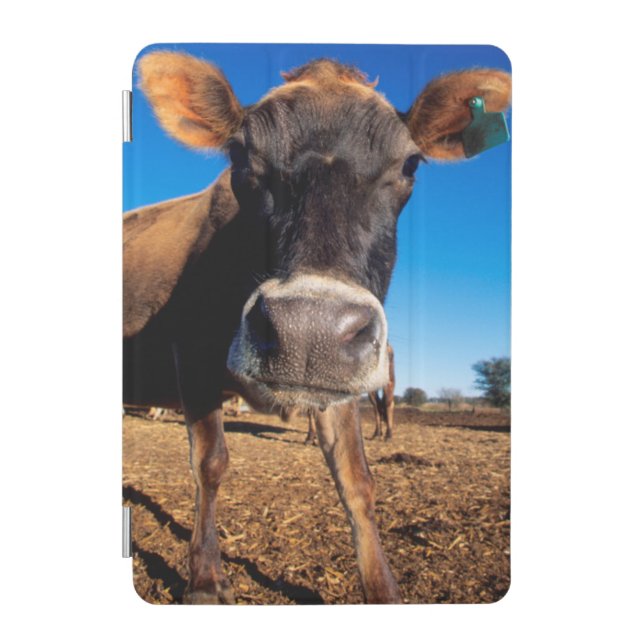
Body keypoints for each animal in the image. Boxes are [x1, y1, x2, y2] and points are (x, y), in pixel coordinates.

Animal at [123, 51, 511, 604]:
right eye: (239, 154)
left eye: (410, 163)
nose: (310, 330)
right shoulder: (191, 352)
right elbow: (210, 464)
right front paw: (205, 579)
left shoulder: (343, 377)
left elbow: (356, 479)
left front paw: (384, 590)